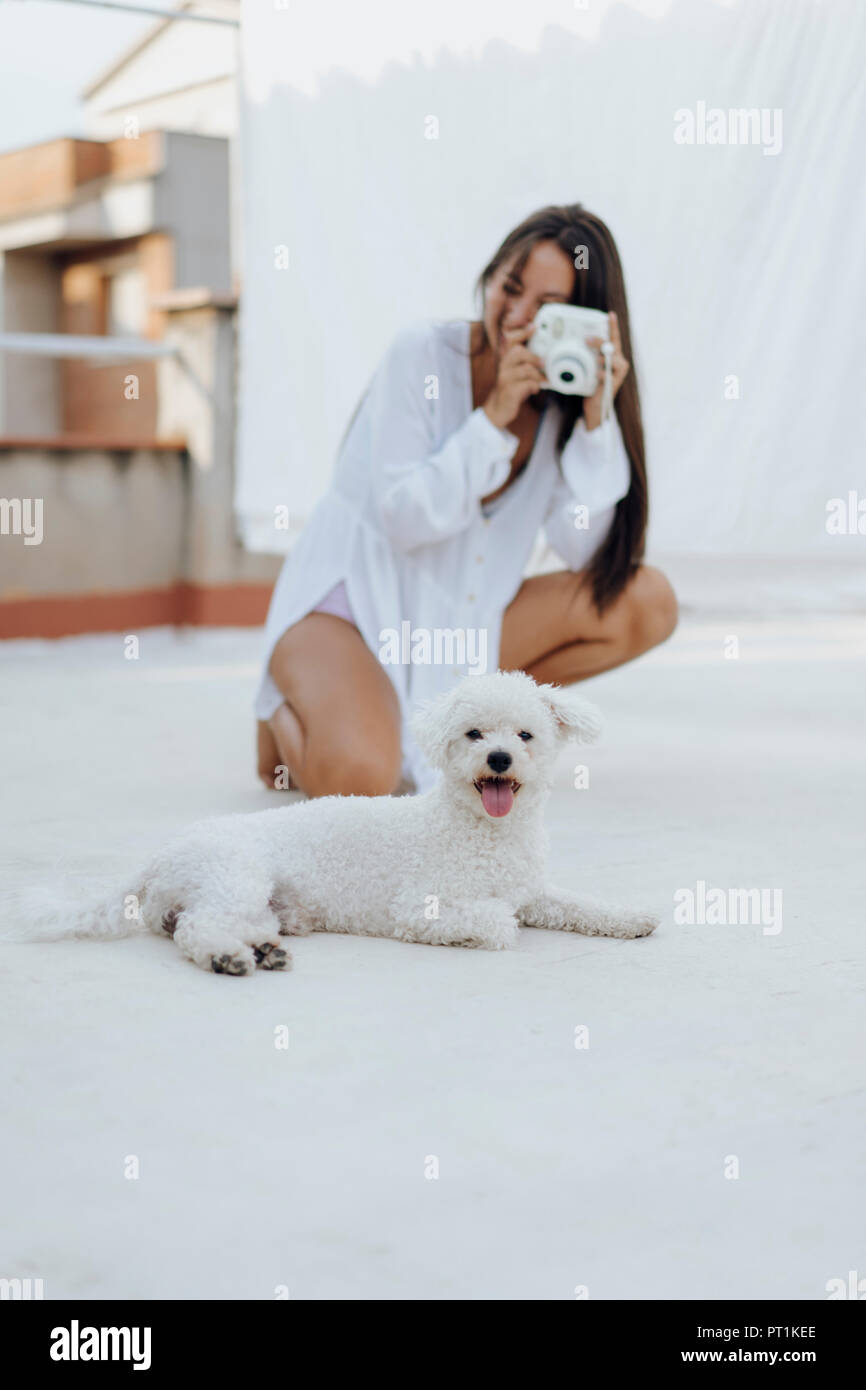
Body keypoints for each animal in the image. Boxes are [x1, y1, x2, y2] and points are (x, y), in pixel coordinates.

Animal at [20, 667, 656, 973]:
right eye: (474, 734)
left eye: (525, 735)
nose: (499, 758)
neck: (485, 830)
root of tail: (161, 856)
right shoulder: (419, 907)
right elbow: (499, 922)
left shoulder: (535, 891)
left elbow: (577, 904)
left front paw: (629, 918)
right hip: (236, 876)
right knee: (195, 929)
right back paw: (231, 958)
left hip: (251, 898)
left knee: (203, 924)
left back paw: (262, 947)